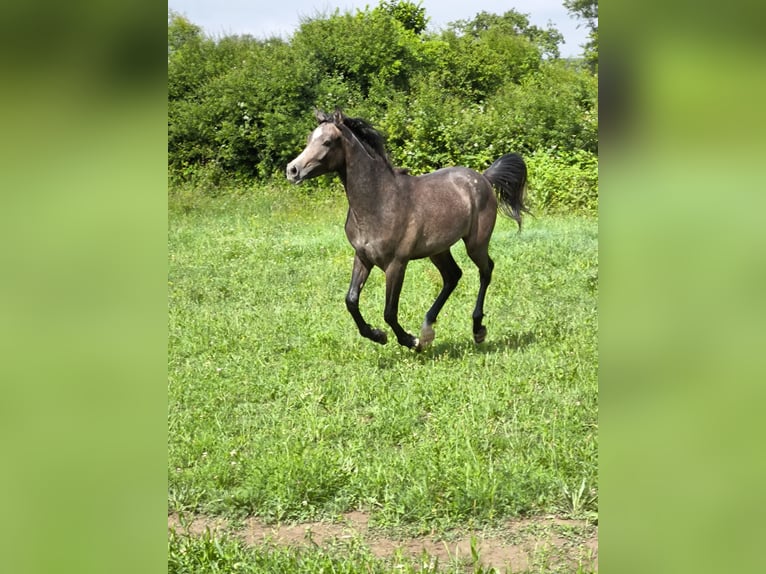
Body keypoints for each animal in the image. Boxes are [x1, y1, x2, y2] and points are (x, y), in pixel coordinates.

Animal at [286, 108, 528, 351]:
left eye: (327, 141)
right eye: (309, 138)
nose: (292, 170)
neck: (379, 201)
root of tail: (484, 178)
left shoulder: (396, 264)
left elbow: (389, 312)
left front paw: (410, 341)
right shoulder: (362, 257)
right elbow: (351, 300)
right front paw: (378, 335)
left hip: (475, 243)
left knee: (485, 271)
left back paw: (477, 330)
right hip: (438, 250)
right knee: (453, 276)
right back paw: (428, 329)